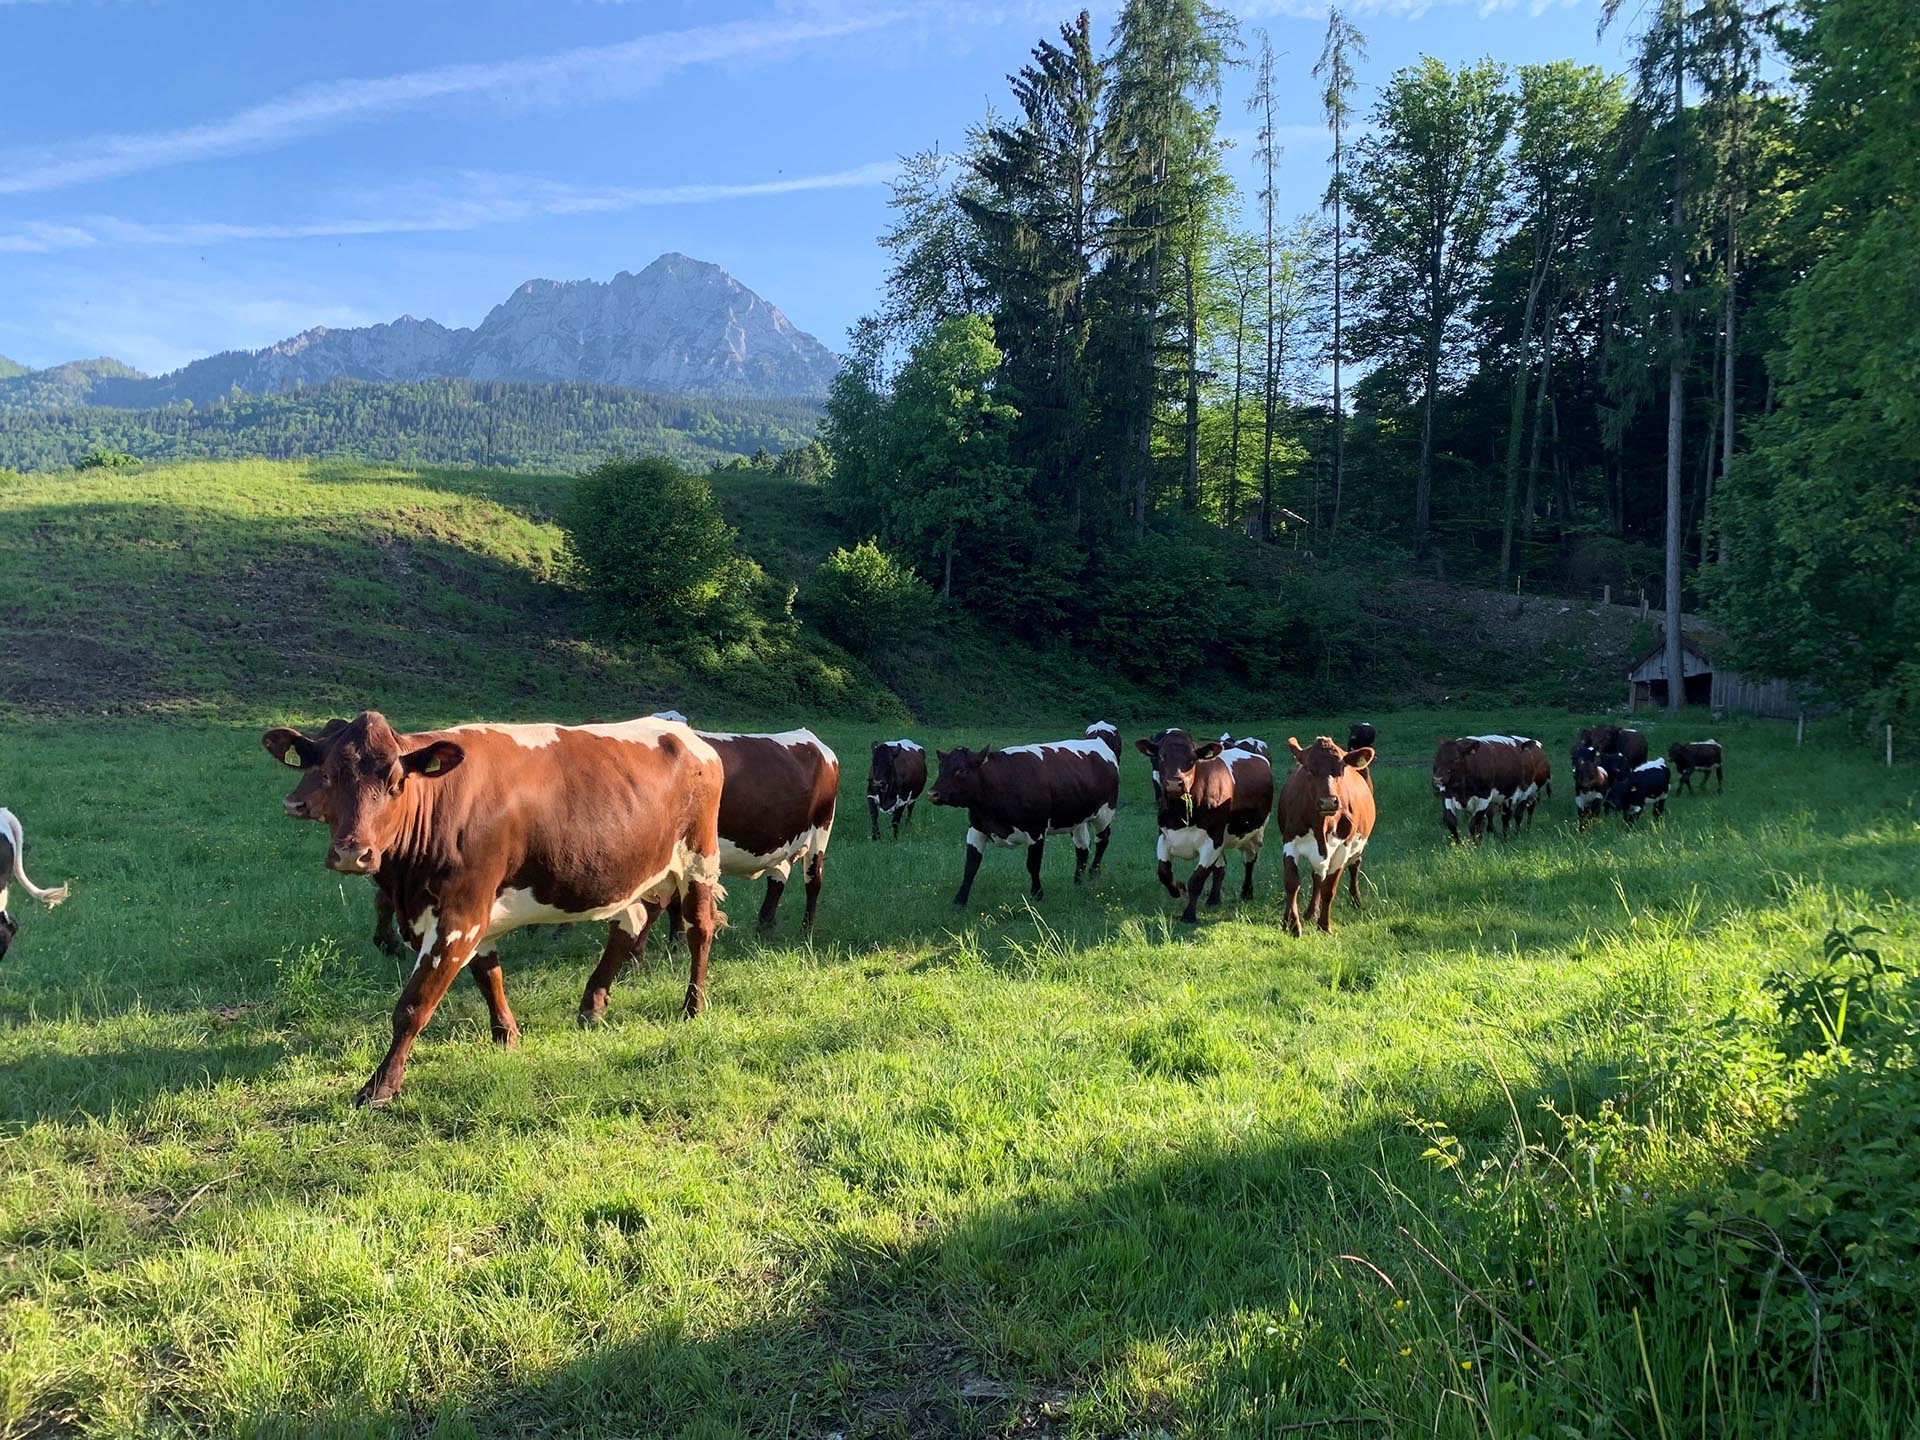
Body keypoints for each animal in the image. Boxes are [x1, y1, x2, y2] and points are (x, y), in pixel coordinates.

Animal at [262, 711, 725, 1107]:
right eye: (327, 775)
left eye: (396, 782)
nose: (351, 853)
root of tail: (687, 736)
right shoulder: (465, 917)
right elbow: (489, 974)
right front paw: (507, 1036)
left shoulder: (459, 915)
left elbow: (413, 1006)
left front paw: (379, 1087)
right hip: (635, 871)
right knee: (630, 924)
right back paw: (592, 1006)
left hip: (698, 858)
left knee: (699, 929)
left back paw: (693, 1007)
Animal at [930, 724, 1120, 906]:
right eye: (940, 768)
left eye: (961, 771)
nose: (933, 793)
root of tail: (1098, 740)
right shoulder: (976, 828)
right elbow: (970, 866)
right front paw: (959, 900)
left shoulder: (1036, 831)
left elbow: (1032, 865)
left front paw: (1037, 895)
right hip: (1077, 818)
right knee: (1082, 847)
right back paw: (1078, 882)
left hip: (1104, 812)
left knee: (1102, 840)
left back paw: (1094, 873)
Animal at [1137, 730, 1273, 923]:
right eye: (1162, 756)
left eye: (1192, 759)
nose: (1174, 783)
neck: (1182, 815)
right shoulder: (1164, 836)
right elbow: (1163, 872)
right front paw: (1178, 889)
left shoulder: (1213, 840)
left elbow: (1196, 880)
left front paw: (1188, 915)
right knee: (1220, 868)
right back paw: (1214, 899)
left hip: (1254, 834)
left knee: (1249, 861)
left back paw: (1247, 893)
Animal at [1278, 736, 1376, 936]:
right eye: (1308, 768)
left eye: (1342, 768)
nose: (1328, 801)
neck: (1320, 826)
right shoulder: (1290, 841)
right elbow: (1292, 883)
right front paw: (1291, 924)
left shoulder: (1343, 848)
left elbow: (1329, 888)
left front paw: (1324, 925)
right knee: (1318, 877)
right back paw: (1310, 912)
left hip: (1358, 846)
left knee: (1354, 867)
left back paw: (1356, 901)